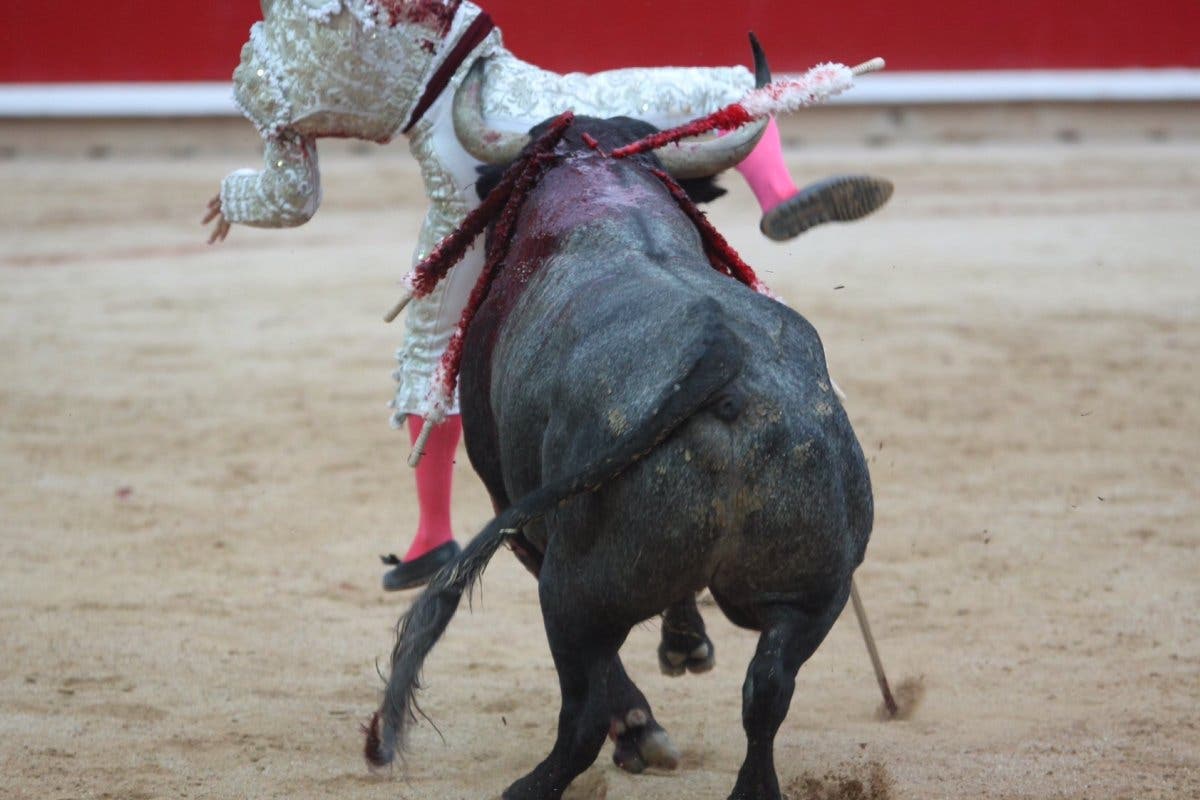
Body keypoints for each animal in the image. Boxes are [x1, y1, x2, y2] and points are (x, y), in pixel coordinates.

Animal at [364, 117, 873, 800]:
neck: (609, 191)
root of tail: (721, 364)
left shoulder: (518, 519)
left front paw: (645, 721)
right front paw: (685, 644)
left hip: (574, 587)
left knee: (583, 709)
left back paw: (556, 773)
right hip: (815, 589)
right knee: (768, 690)